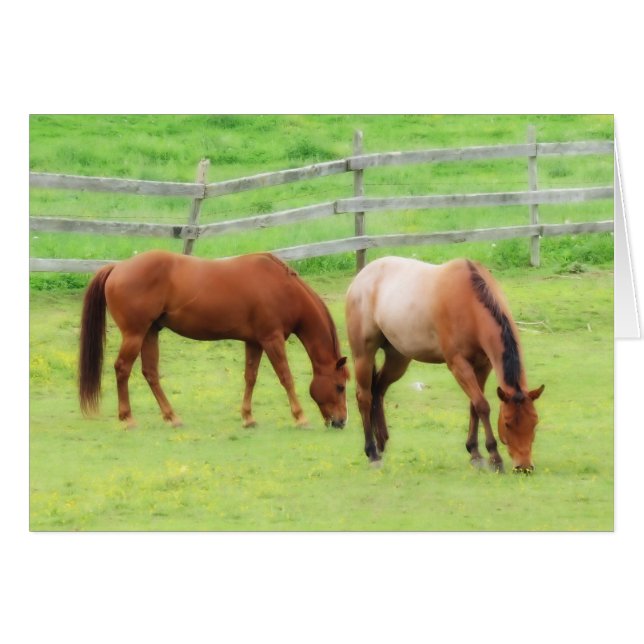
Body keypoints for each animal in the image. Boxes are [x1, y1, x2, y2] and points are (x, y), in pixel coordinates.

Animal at [79, 250, 349, 429]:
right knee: (122, 369)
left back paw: (172, 417)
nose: (341, 421)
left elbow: (250, 377)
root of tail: (118, 267)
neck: (283, 288)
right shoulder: (272, 340)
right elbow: (286, 377)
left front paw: (248, 417)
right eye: (340, 386)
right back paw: (127, 418)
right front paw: (300, 416)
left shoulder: (255, 342)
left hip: (149, 333)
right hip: (135, 334)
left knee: (150, 373)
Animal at [345, 256, 544, 473]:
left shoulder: (483, 366)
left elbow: (474, 405)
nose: (524, 467)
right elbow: (482, 405)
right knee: (364, 397)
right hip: (363, 355)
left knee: (378, 390)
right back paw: (372, 452)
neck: (470, 302)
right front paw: (494, 457)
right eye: (507, 424)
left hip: (398, 358)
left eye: (534, 423)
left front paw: (475, 452)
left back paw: (382, 442)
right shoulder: (458, 365)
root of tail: (360, 278)